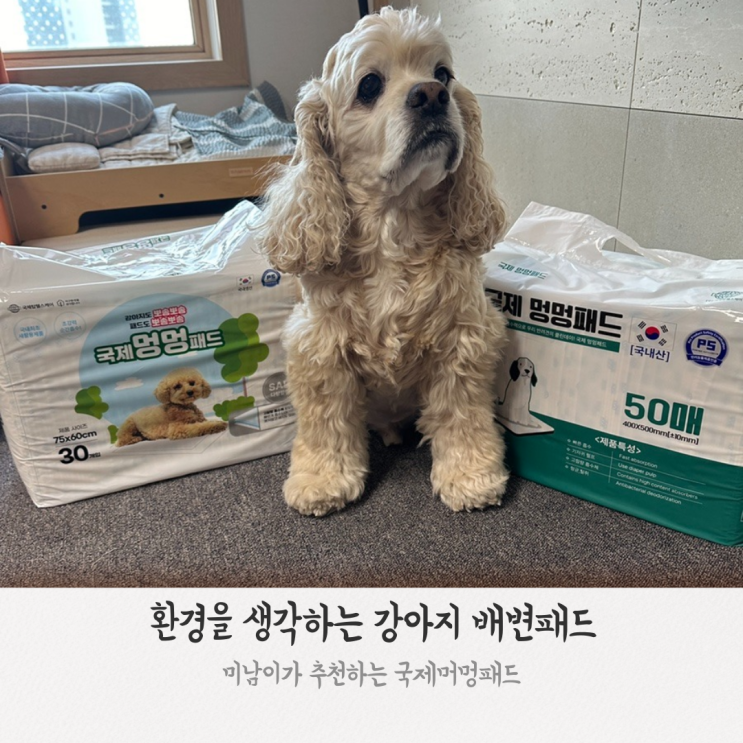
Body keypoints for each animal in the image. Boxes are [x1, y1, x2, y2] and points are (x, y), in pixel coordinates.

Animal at [258, 7, 509, 516]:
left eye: (443, 74)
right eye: (370, 85)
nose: (432, 96)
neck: (396, 224)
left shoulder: (464, 337)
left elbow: (463, 415)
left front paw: (471, 476)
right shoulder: (320, 348)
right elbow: (325, 424)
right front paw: (321, 480)